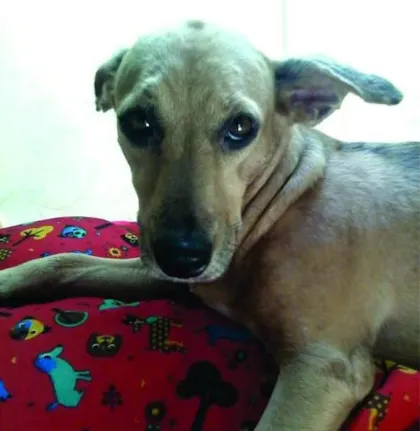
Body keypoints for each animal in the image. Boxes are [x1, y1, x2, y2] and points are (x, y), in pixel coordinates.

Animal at [0, 21, 419, 430]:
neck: (283, 202)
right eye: (138, 122)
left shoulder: (323, 368)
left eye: (242, 126)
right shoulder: (169, 277)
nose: (182, 258)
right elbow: (64, 261)